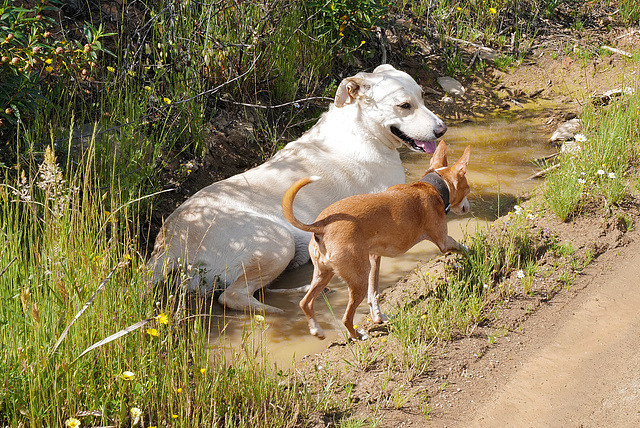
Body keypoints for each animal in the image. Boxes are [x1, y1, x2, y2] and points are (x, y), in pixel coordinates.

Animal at [146, 63, 444, 312]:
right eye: (404, 106)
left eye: (422, 97)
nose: (442, 130)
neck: (362, 130)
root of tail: (168, 246)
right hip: (277, 242)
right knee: (232, 296)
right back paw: (277, 313)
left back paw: (306, 290)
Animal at [282, 141, 470, 342]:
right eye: (468, 189)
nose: (468, 207)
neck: (431, 188)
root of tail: (320, 225)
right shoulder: (444, 241)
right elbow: (463, 247)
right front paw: (477, 253)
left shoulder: (374, 257)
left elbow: (374, 293)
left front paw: (378, 317)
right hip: (357, 280)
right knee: (346, 317)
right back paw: (357, 335)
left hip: (324, 274)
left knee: (305, 302)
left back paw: (317, 330)